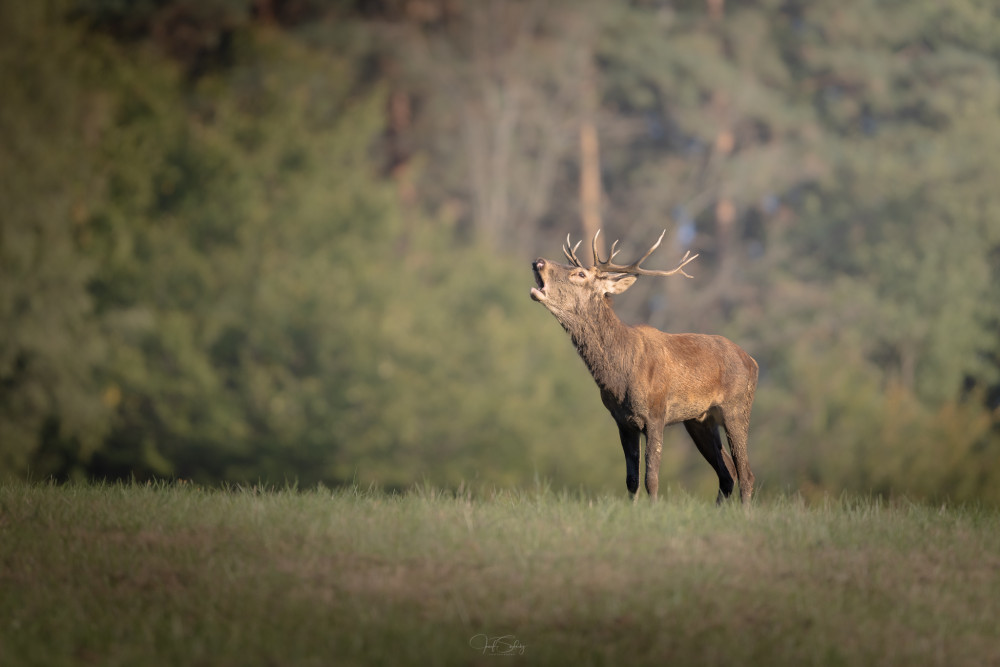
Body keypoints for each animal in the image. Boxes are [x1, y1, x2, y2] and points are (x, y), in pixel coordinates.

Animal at [532, 231, 756, 506]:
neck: (619, 375)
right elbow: (631, 480)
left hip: (737, 408)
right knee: (727, 473)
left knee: (745, 473)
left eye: (580, 274)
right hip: (699, 420)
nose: (538, 261)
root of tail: (752, 361)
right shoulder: (623, 421)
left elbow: (651, 477)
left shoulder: (656, 414)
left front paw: (653, 509)